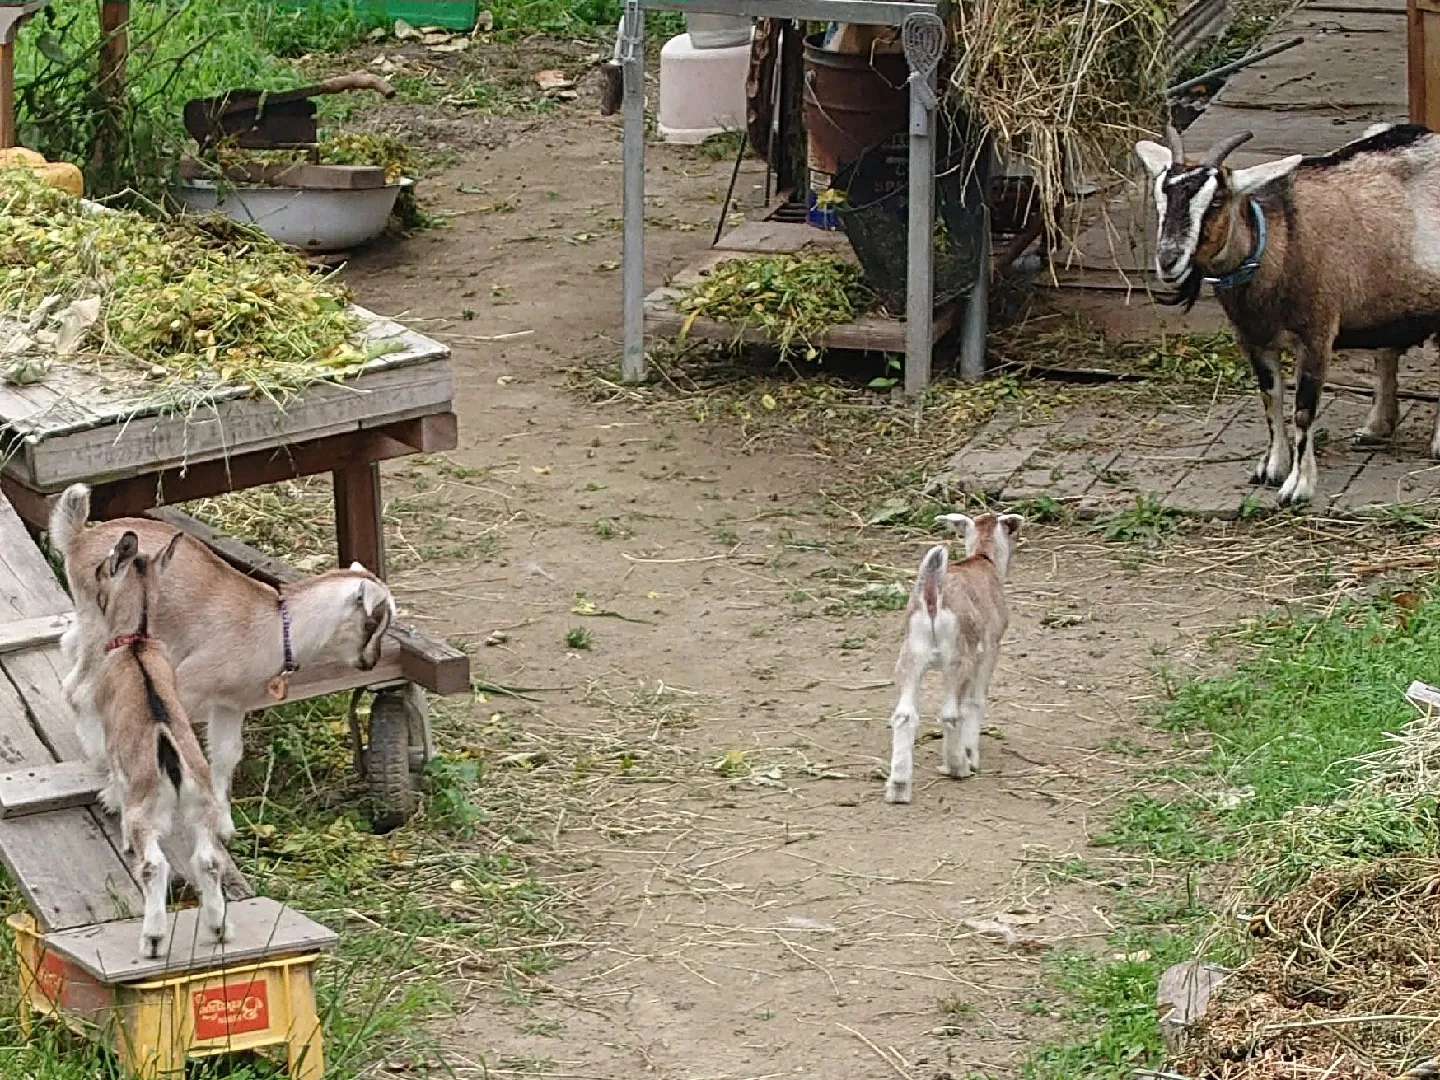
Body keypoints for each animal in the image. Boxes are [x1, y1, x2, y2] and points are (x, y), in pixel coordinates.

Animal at [87, 529, 228, 961]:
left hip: (145, 814)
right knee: (208, 860)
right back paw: (218, 927)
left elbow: (115, 779)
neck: (136, 642)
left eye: (102, 569)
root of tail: (170, 755)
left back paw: (151, 939)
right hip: (203, 807)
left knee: (155, 866)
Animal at [875, 512, 1025, 806]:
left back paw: (898, 787)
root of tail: (932, 596)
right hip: (957, 660)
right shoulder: (989, 649)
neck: (983, 558)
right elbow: (975, 702)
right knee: (950, 714)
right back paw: (959, 767)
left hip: (911, 655)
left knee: (904, 716)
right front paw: (970, 755)